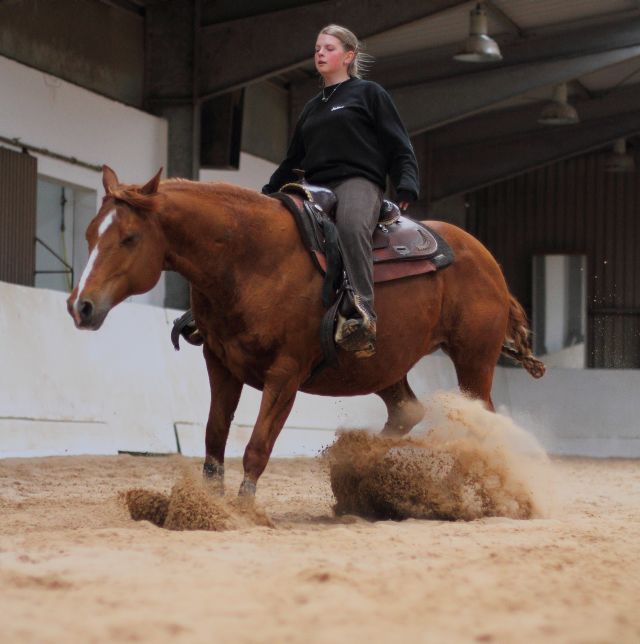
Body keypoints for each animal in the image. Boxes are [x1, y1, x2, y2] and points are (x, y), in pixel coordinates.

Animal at [66, 166, 544, 498]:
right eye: (89, 234)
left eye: (129, 238)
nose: (80, 305)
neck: (250, 259)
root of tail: (487, 260)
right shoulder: (220, 364)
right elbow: (214, 438)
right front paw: (208, 506)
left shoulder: (285, 375)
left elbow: (257, 446)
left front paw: (243, 510)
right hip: (383, 366)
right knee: (407, 410)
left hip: (473, 360)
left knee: (481, 422)